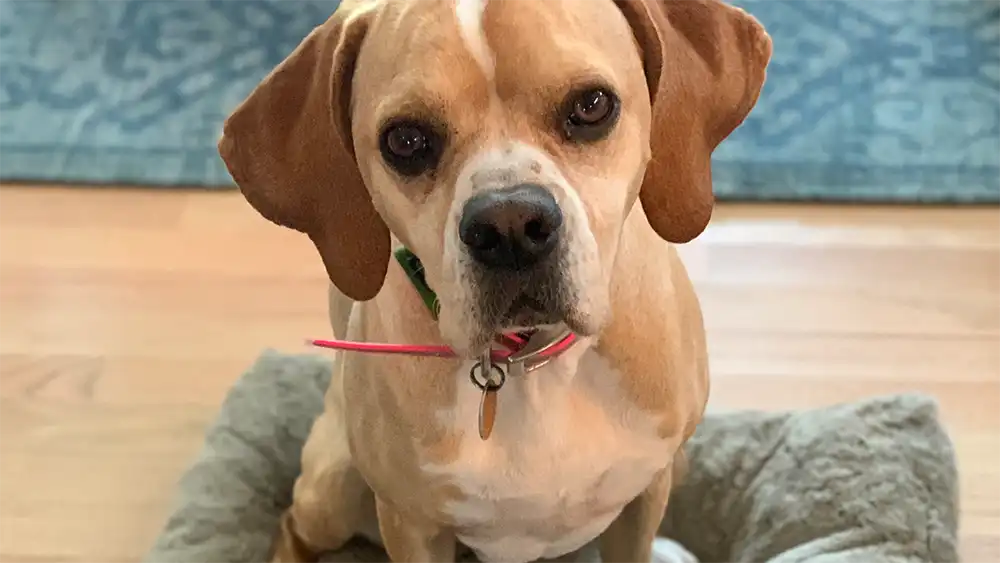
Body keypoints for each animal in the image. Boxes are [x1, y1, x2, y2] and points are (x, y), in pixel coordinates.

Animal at [221, 0, 772, 560]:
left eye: (592, 105)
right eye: (405, 140)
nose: (511, 228)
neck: (533, 362)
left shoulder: (644, 496)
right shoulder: (412, 525)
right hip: (334, 487)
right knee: (293, 524)